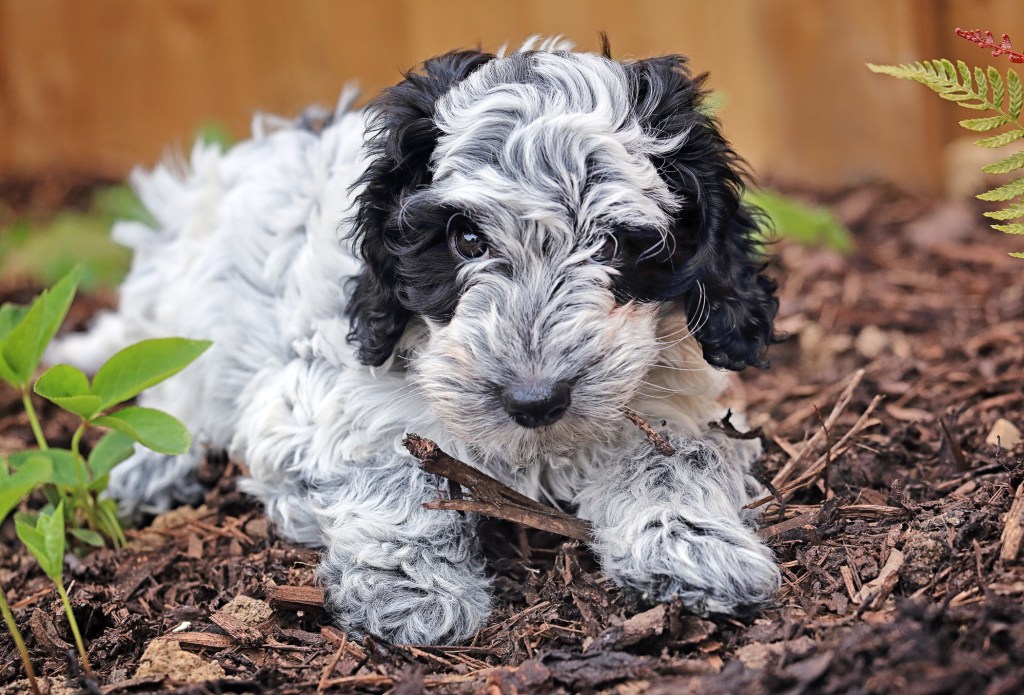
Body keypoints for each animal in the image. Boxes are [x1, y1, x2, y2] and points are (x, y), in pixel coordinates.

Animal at [51, 39, 778, 646]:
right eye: (467, 241)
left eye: (611, 245)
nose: (535, 399)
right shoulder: (313, 395)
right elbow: (393, 465)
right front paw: (412, 592)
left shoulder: (669, 393)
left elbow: (676, 452)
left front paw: (696, 546)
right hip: (183, 299)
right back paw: (154, 468)